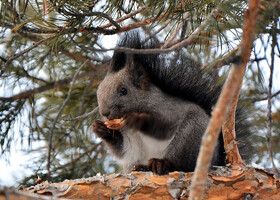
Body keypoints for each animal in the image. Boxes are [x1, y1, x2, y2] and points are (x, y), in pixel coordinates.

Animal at [92, 31, 252, 175]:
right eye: (98, 92)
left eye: (124, 91)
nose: (105, 113)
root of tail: (215, 160)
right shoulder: (130, 142)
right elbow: (123, 150)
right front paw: (100, 129)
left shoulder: (169, 109)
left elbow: (163, 127)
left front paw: (137, 119)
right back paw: (143, 167)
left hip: (190, 137)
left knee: (181, 164)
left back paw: (161, 164)